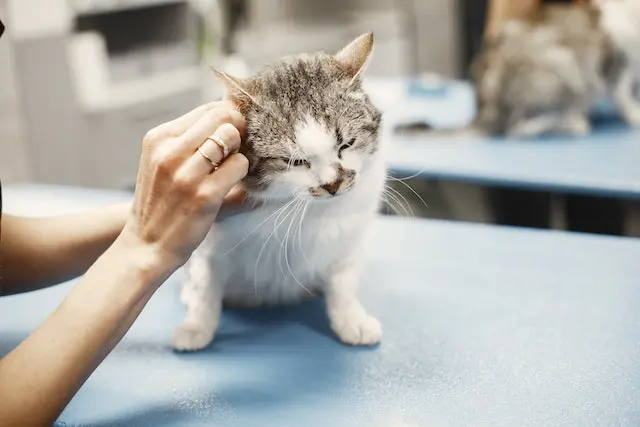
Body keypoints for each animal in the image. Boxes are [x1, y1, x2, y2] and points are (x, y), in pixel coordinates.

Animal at [170, 33, 388, 352]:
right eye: (295, 161)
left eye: (346, 144)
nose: (333, 184)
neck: (305, 210)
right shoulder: (209, 244)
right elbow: (205, 286)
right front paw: (197, 325)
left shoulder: (347, 241)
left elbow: (343, 282)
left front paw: (351, 320)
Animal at [452, 0, 640, 139]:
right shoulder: (615, 65)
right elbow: (623, 96)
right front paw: (635, 114)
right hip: (562, 64)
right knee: (520, 128)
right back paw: (575, 123)